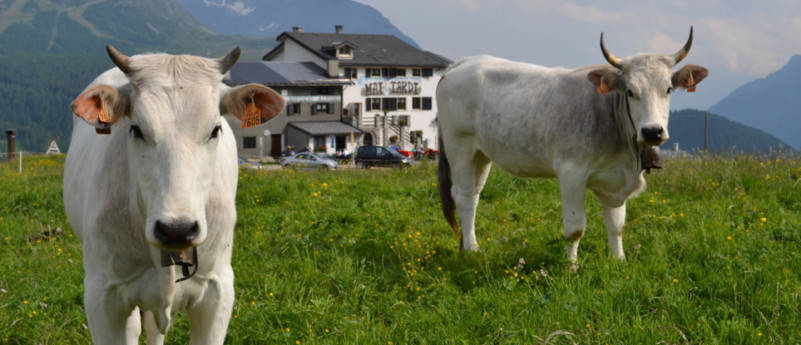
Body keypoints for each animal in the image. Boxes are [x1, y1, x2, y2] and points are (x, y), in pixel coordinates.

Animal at [438, 28, 708, 262]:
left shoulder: (615, 180)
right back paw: (471, 251)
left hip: (481, 154)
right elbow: (576, 227)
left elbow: (616, 224)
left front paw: (618, 261)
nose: (652, 131)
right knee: (462, 195)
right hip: (459, 147)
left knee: (474, 195)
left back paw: (470, 245)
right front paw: (571, 266)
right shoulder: (572, 173)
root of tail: (462, 63)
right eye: (630, 91)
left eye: (669, 89)